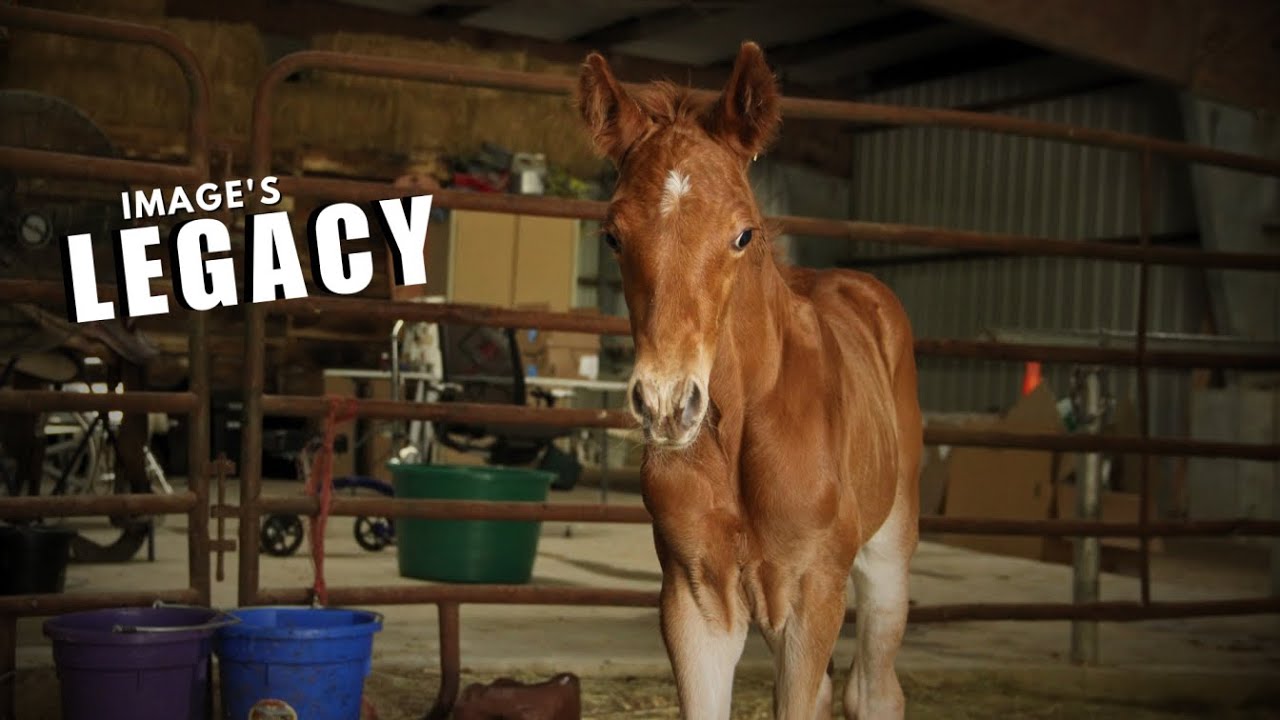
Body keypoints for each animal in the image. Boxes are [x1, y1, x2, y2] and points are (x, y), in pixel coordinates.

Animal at [575, 42, 922, 719]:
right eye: (613, 235)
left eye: (742, 234)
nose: (666, 404)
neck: (741, 428)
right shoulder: (694, 602)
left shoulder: (814, 595)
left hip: (888, 553)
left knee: (875, 689)